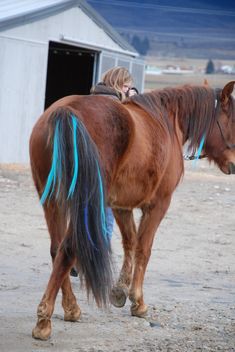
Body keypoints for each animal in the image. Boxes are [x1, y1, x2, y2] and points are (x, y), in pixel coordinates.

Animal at [29, 81, 235, 340]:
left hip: (52, 201)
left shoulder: (120, 206)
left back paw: (71, 308)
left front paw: (120, 290)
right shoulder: (159, 204)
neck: (166, 120)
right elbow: (144, 249)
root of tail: (66, 111)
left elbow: (130, 242)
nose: (234, 164)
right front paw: (138, 301)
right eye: (232, 121)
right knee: (68, 249)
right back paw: (44, 320)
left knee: (57, 250)